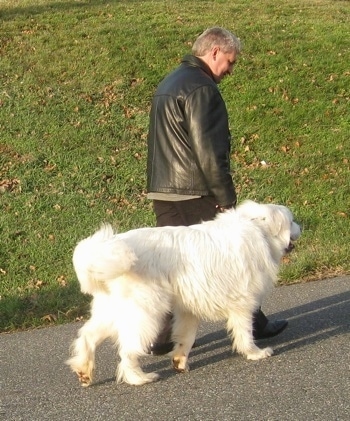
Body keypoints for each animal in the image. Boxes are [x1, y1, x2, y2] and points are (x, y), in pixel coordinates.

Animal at [67, 202, 300, 386]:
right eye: (292, 220)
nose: (302, 226)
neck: (257, 228)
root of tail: (105, 250)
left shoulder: (189, 309)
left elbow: (185, 339)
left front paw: (180, 362)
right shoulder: (243, 302)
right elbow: (245, 333)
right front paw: (255, 353)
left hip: (113, 310)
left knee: (87, 336)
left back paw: (84, 370)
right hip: (145, 313)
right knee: (127, 351)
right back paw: (139, 378)